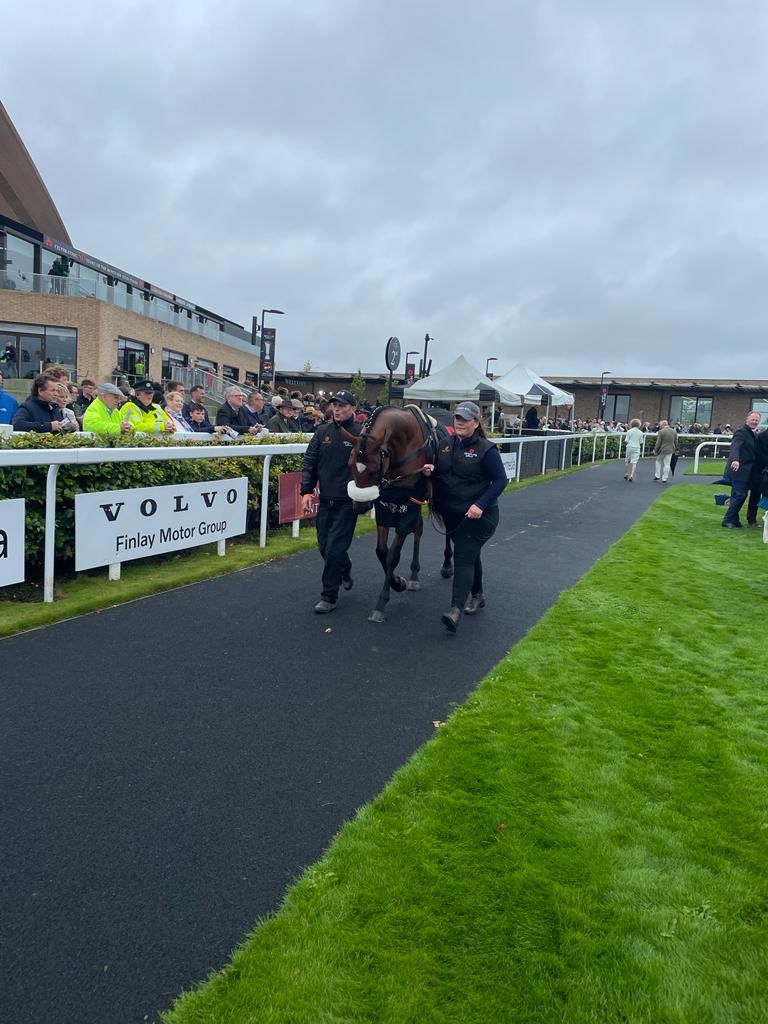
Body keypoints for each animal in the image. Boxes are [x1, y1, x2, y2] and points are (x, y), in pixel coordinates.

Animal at [344, 403, 438, 618]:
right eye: (350, 464)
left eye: (372, 470)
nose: (360, 506)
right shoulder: (385, 505)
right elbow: (381, 551)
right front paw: (398, 582)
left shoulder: (408, 506)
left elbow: (393, 555)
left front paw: (382, 602)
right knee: (419, 529)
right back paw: (414, 574)